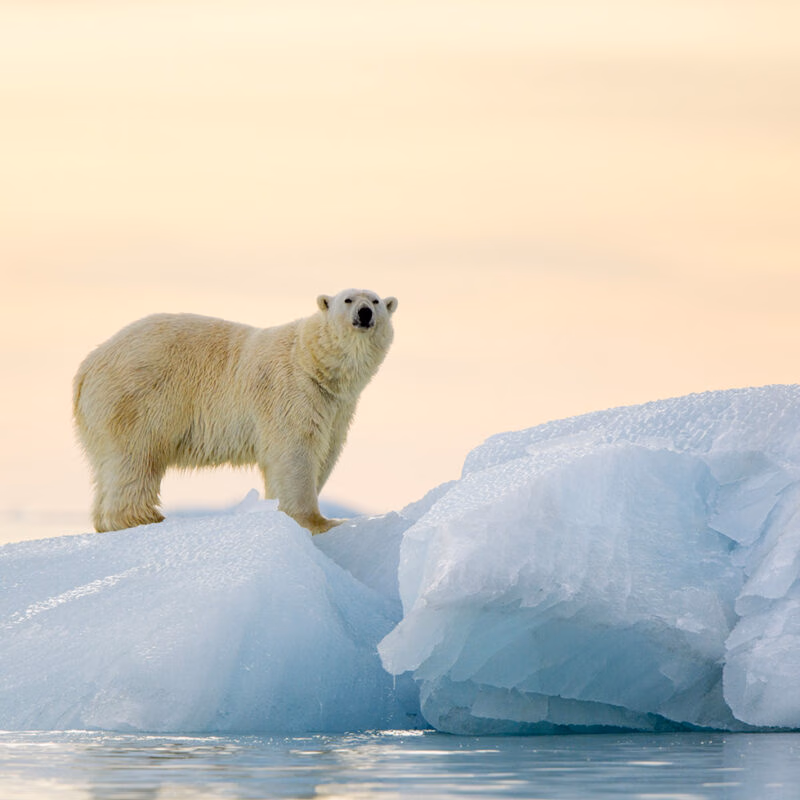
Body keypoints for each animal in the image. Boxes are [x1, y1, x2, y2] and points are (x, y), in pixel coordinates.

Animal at [73, 289, 398, 535]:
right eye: (348, 299)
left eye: (376, 300)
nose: (365, 313)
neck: (312, 362)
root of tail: (87, 366)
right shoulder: (291, 392)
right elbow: (295, 451)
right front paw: (320, 522)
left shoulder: (336, 407)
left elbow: (326, 450)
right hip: (138, 398)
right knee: (136, 456)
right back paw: (145, 518)